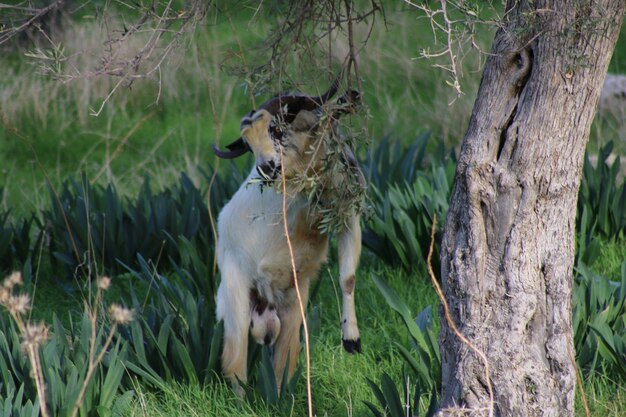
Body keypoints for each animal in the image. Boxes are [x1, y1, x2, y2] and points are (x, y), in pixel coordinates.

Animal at [213, 79, 364, 394]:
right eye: (248, 144)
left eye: (277, 128)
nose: (267, 168)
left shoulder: (348, 219)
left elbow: (348, 278)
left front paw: (351, 340)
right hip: (235, 297)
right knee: (234, 363)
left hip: (293, 303)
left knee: (284, 360)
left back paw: (283, 397)